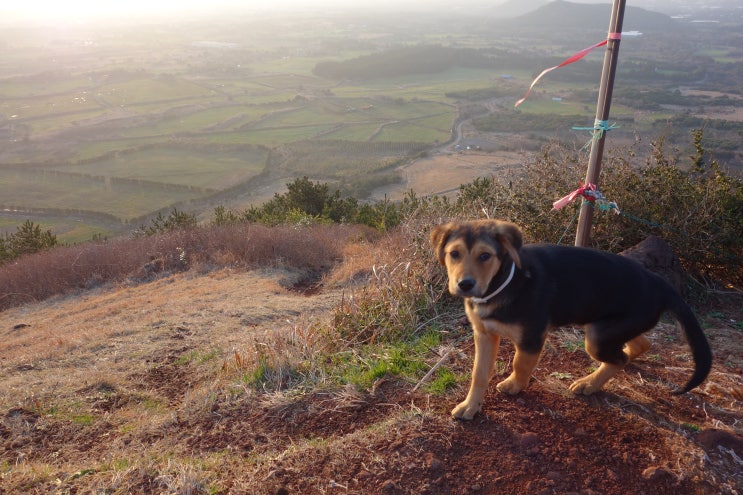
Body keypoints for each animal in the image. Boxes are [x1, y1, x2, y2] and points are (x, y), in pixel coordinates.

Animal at [434, 220, 712, 418]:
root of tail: (659, 282)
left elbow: (520, 364)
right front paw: (470, 406)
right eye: (454, 254)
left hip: (598, 337)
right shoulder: (484, 334)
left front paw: (514, 385)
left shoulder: (531, 337)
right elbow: (479, 373)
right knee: (641, 344)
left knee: (619, 358)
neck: (504, 282)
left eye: (485, 256)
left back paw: (589, 383)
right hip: (609, 327)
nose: (465, 285)